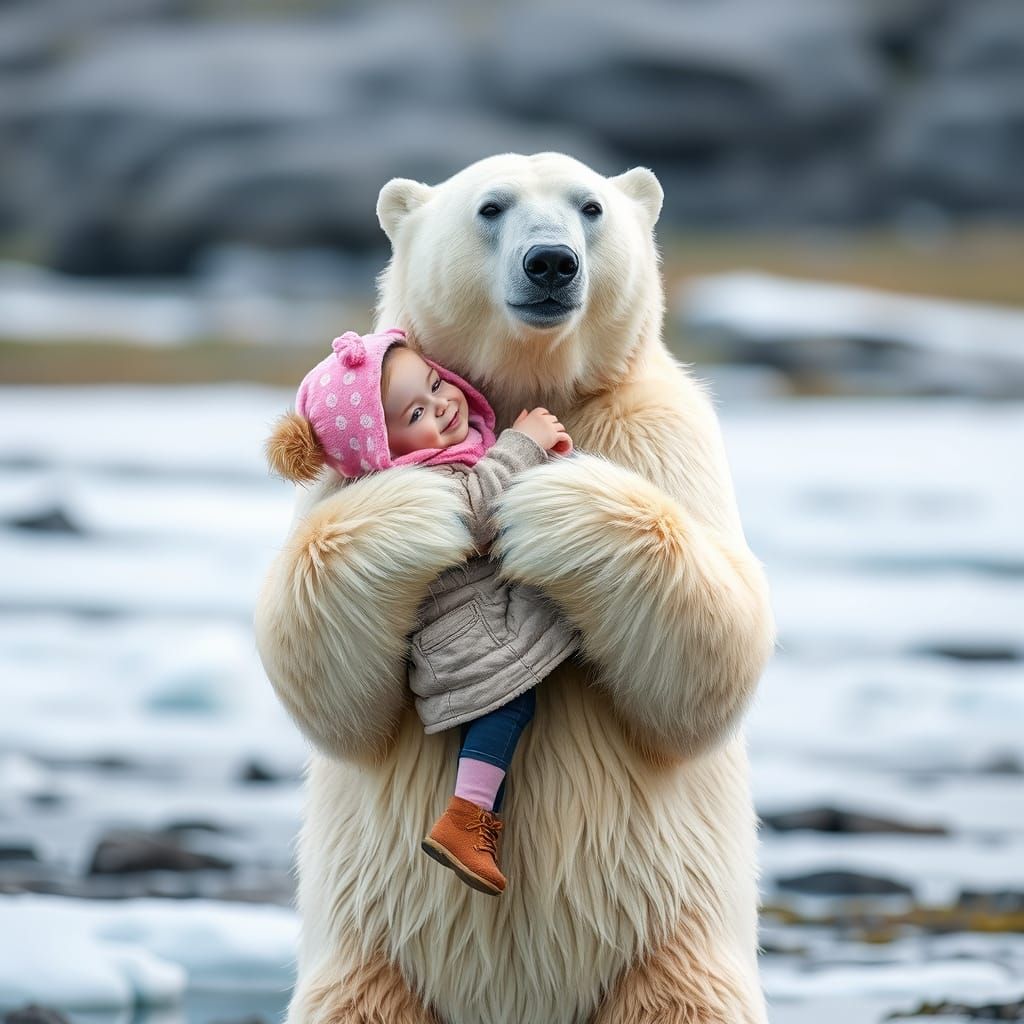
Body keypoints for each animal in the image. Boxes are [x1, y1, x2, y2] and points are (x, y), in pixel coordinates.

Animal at [254, 152, 775, 1024]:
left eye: (590, 206)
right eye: (490, 207)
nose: (552, 263)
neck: (534, 384)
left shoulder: (659, 432)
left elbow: (716, 652)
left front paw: (548, 502)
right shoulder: (330, 480)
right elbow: (330, 692)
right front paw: (425, 509)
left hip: (663, 947)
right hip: (377, 957)